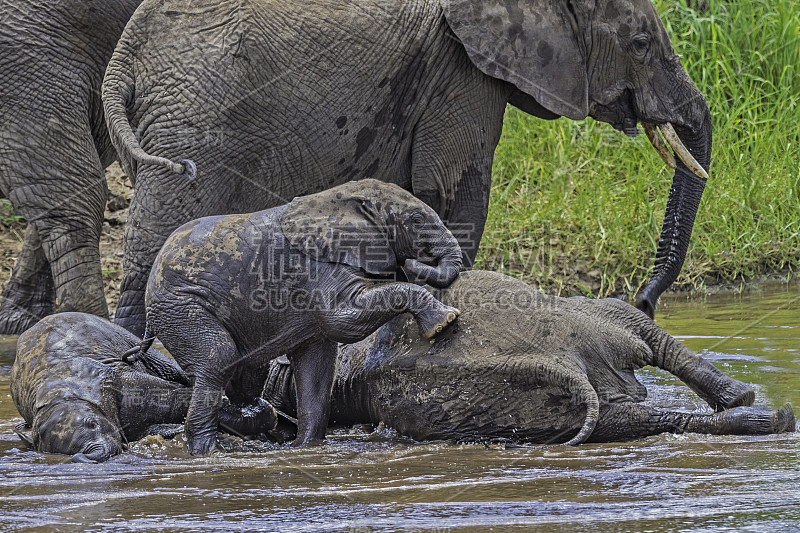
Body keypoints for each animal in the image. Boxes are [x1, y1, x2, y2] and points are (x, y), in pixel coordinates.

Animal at [7, 312, 278, 462]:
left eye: (93, 424)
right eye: (61, 452)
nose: (80, 456)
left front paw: (265, 416)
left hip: (131, 342)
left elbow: (175, 397)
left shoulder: (122, 381)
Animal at [103, 0, 708, 334]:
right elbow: (455, 191)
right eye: (640, 42)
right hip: (195, 120)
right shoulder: (459, 70)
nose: (644, 302)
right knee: (157, 236)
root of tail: (124, 55)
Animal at [133, 179, 462, 454]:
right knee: (219, 357)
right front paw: (445, 321)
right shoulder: (316, 268)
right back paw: (209, 453)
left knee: (247, 371)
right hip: (181, 307)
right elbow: (344, 322)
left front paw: (306, 447)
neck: (344, 196)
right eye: (416, 220)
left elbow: (317, 366)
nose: (413, 263)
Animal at [260, 270, 792, 444]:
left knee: (647, 339)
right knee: (636, 413)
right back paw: (767, 416)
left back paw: (752, 404)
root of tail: (563, 361)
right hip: (524, 405)